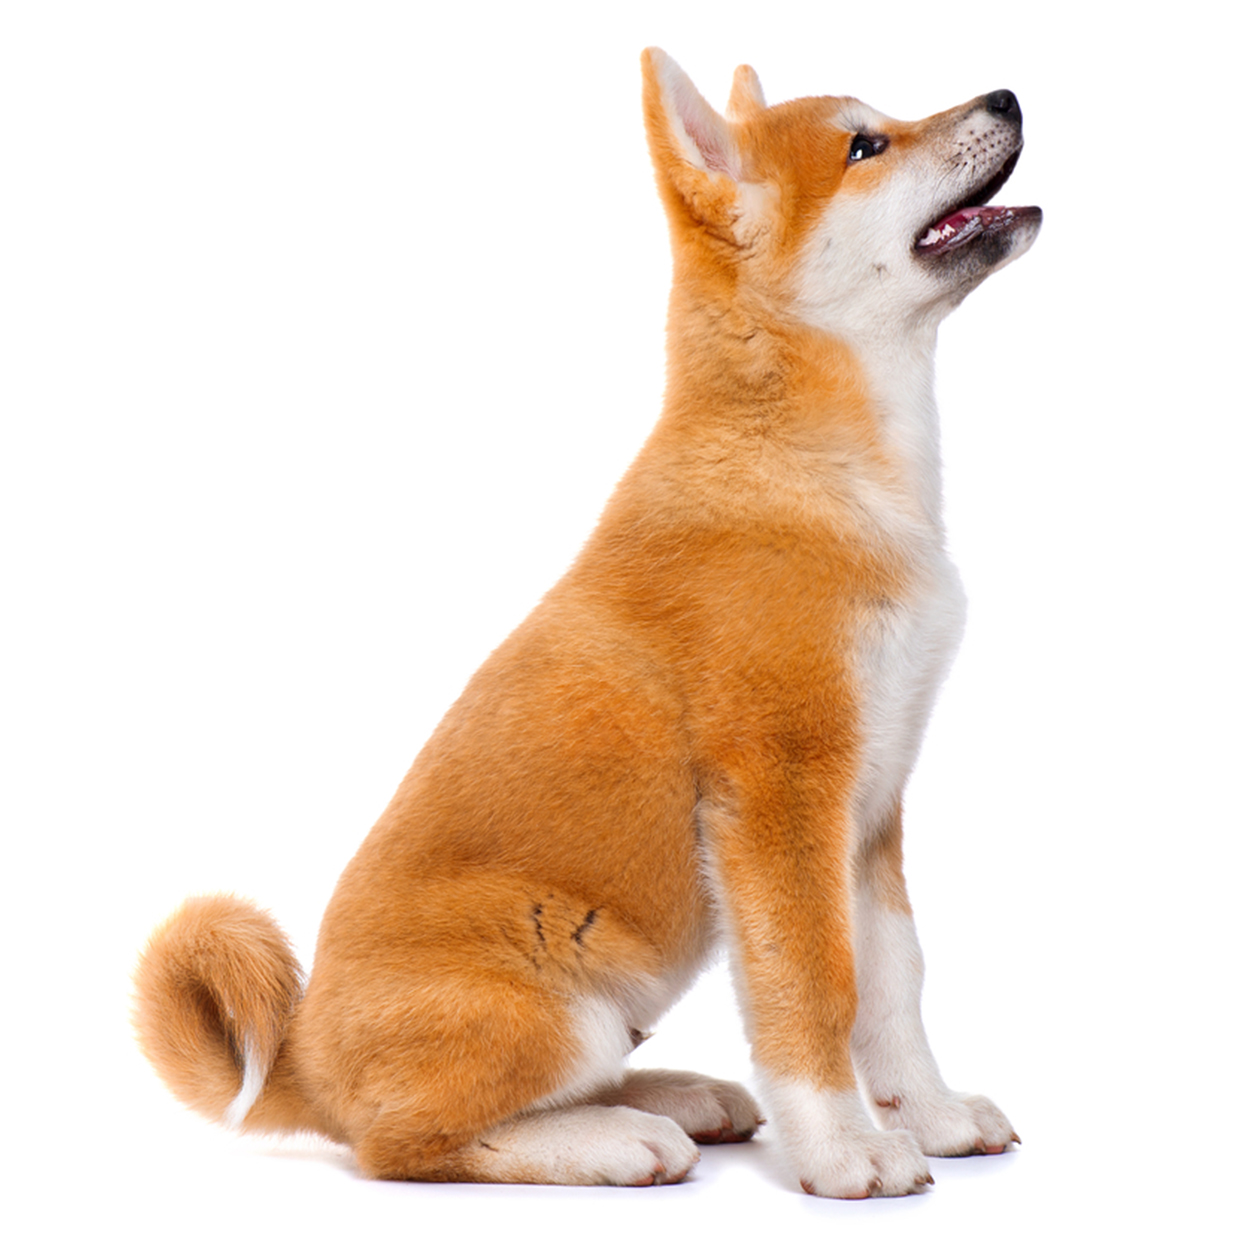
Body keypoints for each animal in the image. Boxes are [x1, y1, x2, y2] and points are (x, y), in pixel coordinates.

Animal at [134, 51, 1045, 1200]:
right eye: (863, 145)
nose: (1007, 98)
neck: (804, 465)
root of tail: (301, 1060)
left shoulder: (870, 809)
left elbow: (894, 988)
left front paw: (928, 1116)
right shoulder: (781, 793)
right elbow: (815, 990)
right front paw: (843, 1149)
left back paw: (672, 1096)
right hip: (561, 996)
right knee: (404, 1142)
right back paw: (613, 1138)